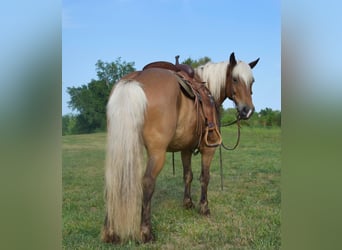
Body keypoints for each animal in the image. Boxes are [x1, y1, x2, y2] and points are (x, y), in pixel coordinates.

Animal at [101, 52, 260, 242]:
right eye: (235, 79)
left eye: (252, 81)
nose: (247, 110)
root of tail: (134, 80)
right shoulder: (208, 149)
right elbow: (204, 177)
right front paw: (204, 208)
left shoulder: (185, 149)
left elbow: (188, 175)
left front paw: (188, 203)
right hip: (157, 153)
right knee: (147, 182)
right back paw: (146, 232)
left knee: (113, 181)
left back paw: (110, 232)